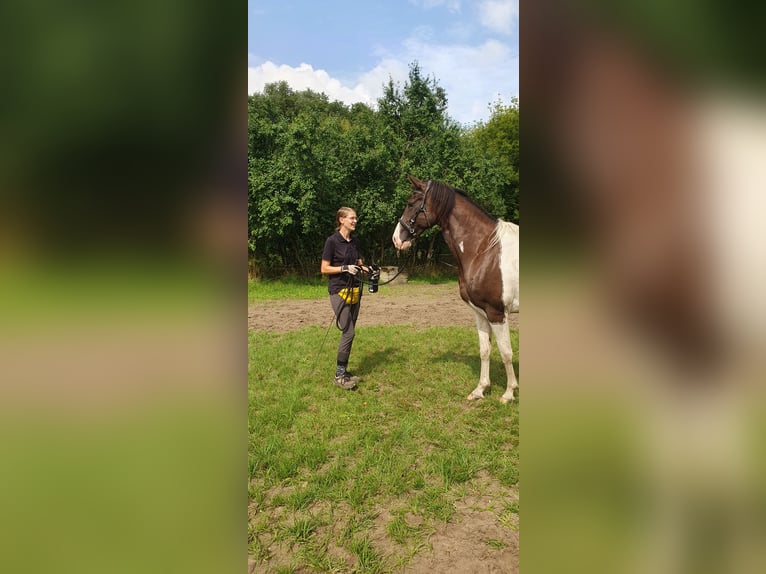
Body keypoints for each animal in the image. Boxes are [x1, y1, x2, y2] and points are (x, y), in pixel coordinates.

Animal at [392, 175, 519, 403]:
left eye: (411, 203)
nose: (396, 239)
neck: (485, 249)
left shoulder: (497, 313)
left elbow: (506, 352)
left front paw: (509, 393)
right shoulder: (480, 313)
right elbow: (485, 350)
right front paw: (480, 390)